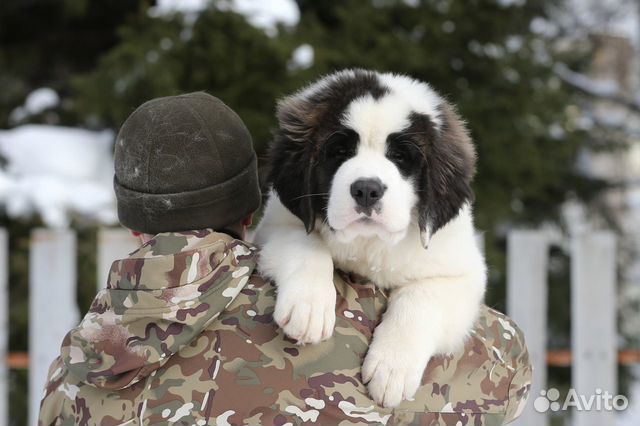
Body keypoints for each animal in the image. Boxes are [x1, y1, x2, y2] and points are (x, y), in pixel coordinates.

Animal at [252, 68, 488, 408]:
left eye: (400, 157)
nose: (366, 190)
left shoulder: (460, 273)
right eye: (340, 152)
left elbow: (421, 298)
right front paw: (309, 307)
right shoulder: (278, 226)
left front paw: (393, 368)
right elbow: (307, 246)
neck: (368, 245)